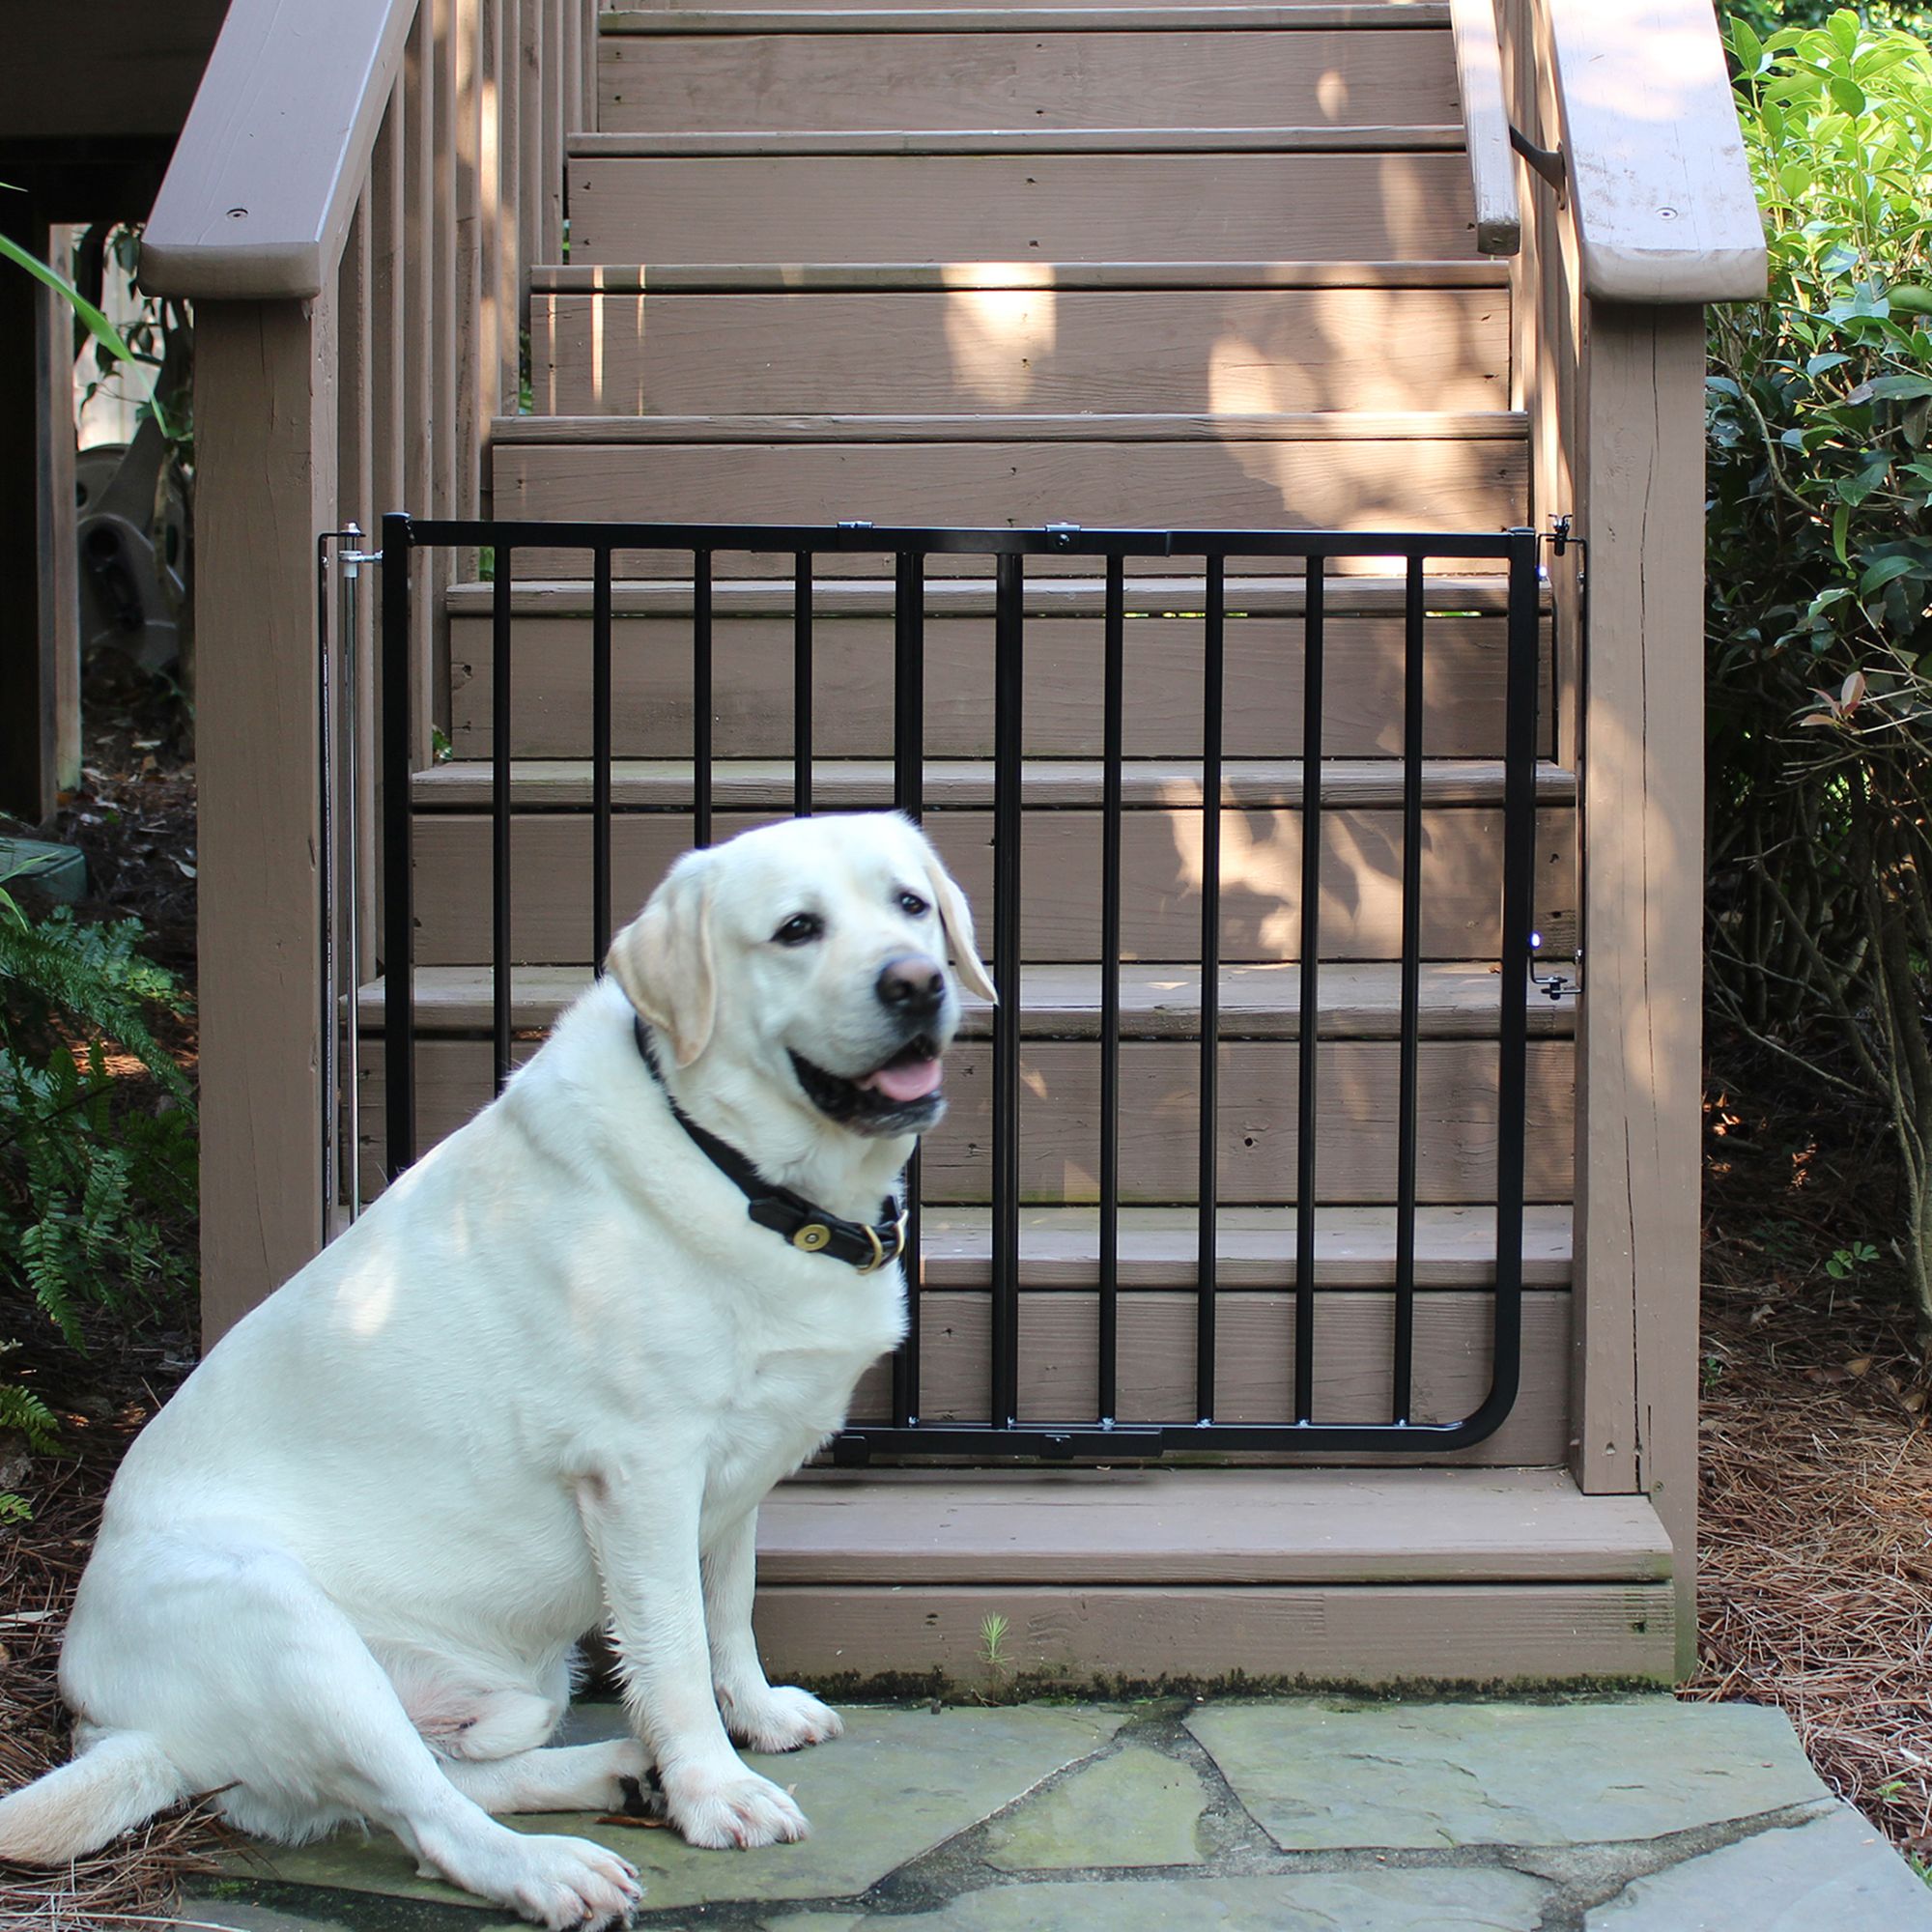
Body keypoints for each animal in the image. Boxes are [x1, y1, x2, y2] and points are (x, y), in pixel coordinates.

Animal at [0, 815, 997, 1932]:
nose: (916, 982)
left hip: (500, 1689)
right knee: (430, 1818)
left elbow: (729, 1607)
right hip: (290, 1627)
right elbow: (677, 1651)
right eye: (795, 928)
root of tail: (123, 1732)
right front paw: (715, 1789)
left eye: (910, 904)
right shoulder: (643, 1474)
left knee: (438, 1780)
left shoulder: (736, 1469)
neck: (740, 1169)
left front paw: (758, 1715)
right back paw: (553, 1863)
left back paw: (615, 1771)